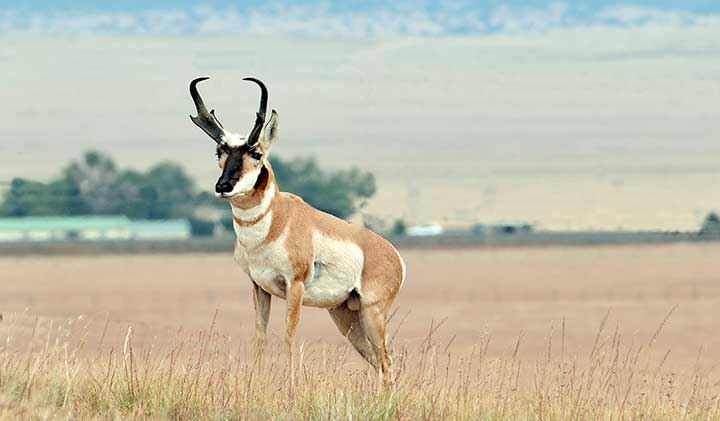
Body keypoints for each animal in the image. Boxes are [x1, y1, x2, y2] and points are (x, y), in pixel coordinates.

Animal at [188, 77, 408, 388]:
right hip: (345, 316)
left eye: (256, 153)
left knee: (386, 359)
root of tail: (393, 254)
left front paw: (291, 387)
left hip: (372, 313)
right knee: (377, 360)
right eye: (220, 152)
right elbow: (260, 337)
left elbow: (289, 336)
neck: (275, 222)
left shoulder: (295, 286)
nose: (223, 186)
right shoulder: (259, 287)